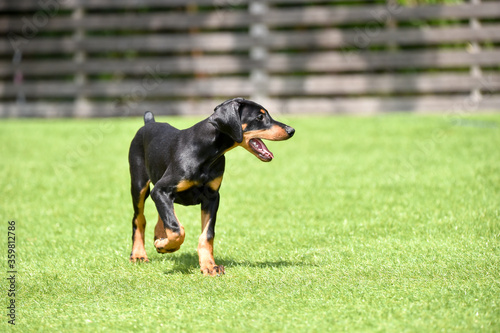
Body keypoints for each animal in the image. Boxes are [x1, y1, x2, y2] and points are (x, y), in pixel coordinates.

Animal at [127, 96, 294, 274]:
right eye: (259, 117)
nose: (291, 130)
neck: (207, 150)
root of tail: (149, 122)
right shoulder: (161, 189)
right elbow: (177, 229)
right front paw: (166, 246)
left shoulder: (212, 197)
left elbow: (207, 234)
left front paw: (209, 265)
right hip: (139, 185)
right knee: (139, 218)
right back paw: (139, 254)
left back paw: (159, 235)